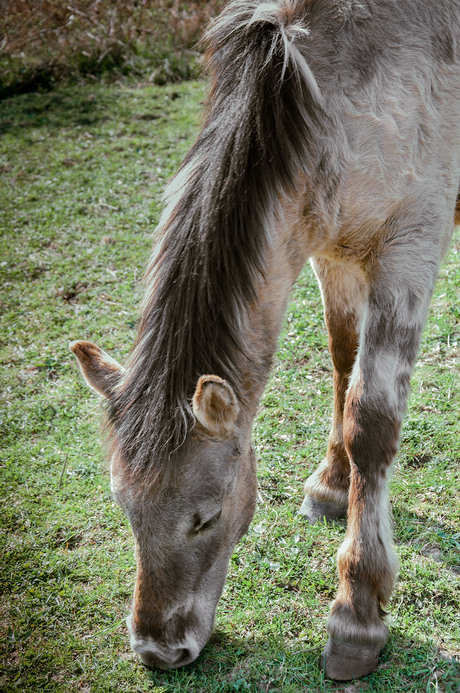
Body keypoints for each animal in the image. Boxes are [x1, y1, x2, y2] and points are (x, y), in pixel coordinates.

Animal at [69, 0, 460, 680]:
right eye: (124, 507)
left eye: (205, 518)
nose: (158, 649)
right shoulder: (330, 246)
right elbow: (341, 360)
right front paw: (331, 485)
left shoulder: (409, 251)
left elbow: (371, 422)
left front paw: (357, 614)